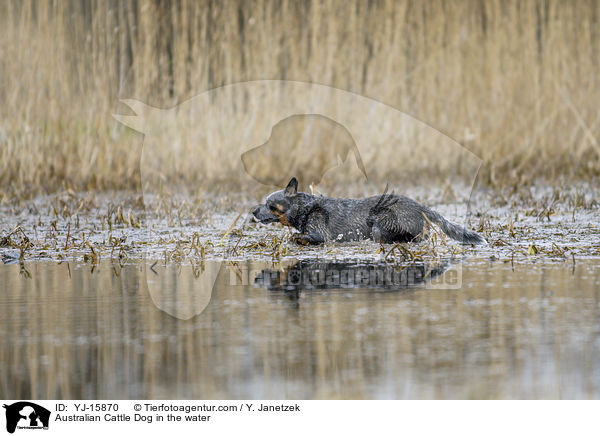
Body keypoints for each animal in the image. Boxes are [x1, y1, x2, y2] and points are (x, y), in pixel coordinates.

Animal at [251, 177, 486, 245]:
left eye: (269, 203)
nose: (253, 211)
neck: (306, 207)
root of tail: (420, 206)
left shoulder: (320, 235)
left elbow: (300, 237)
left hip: (379, 225)